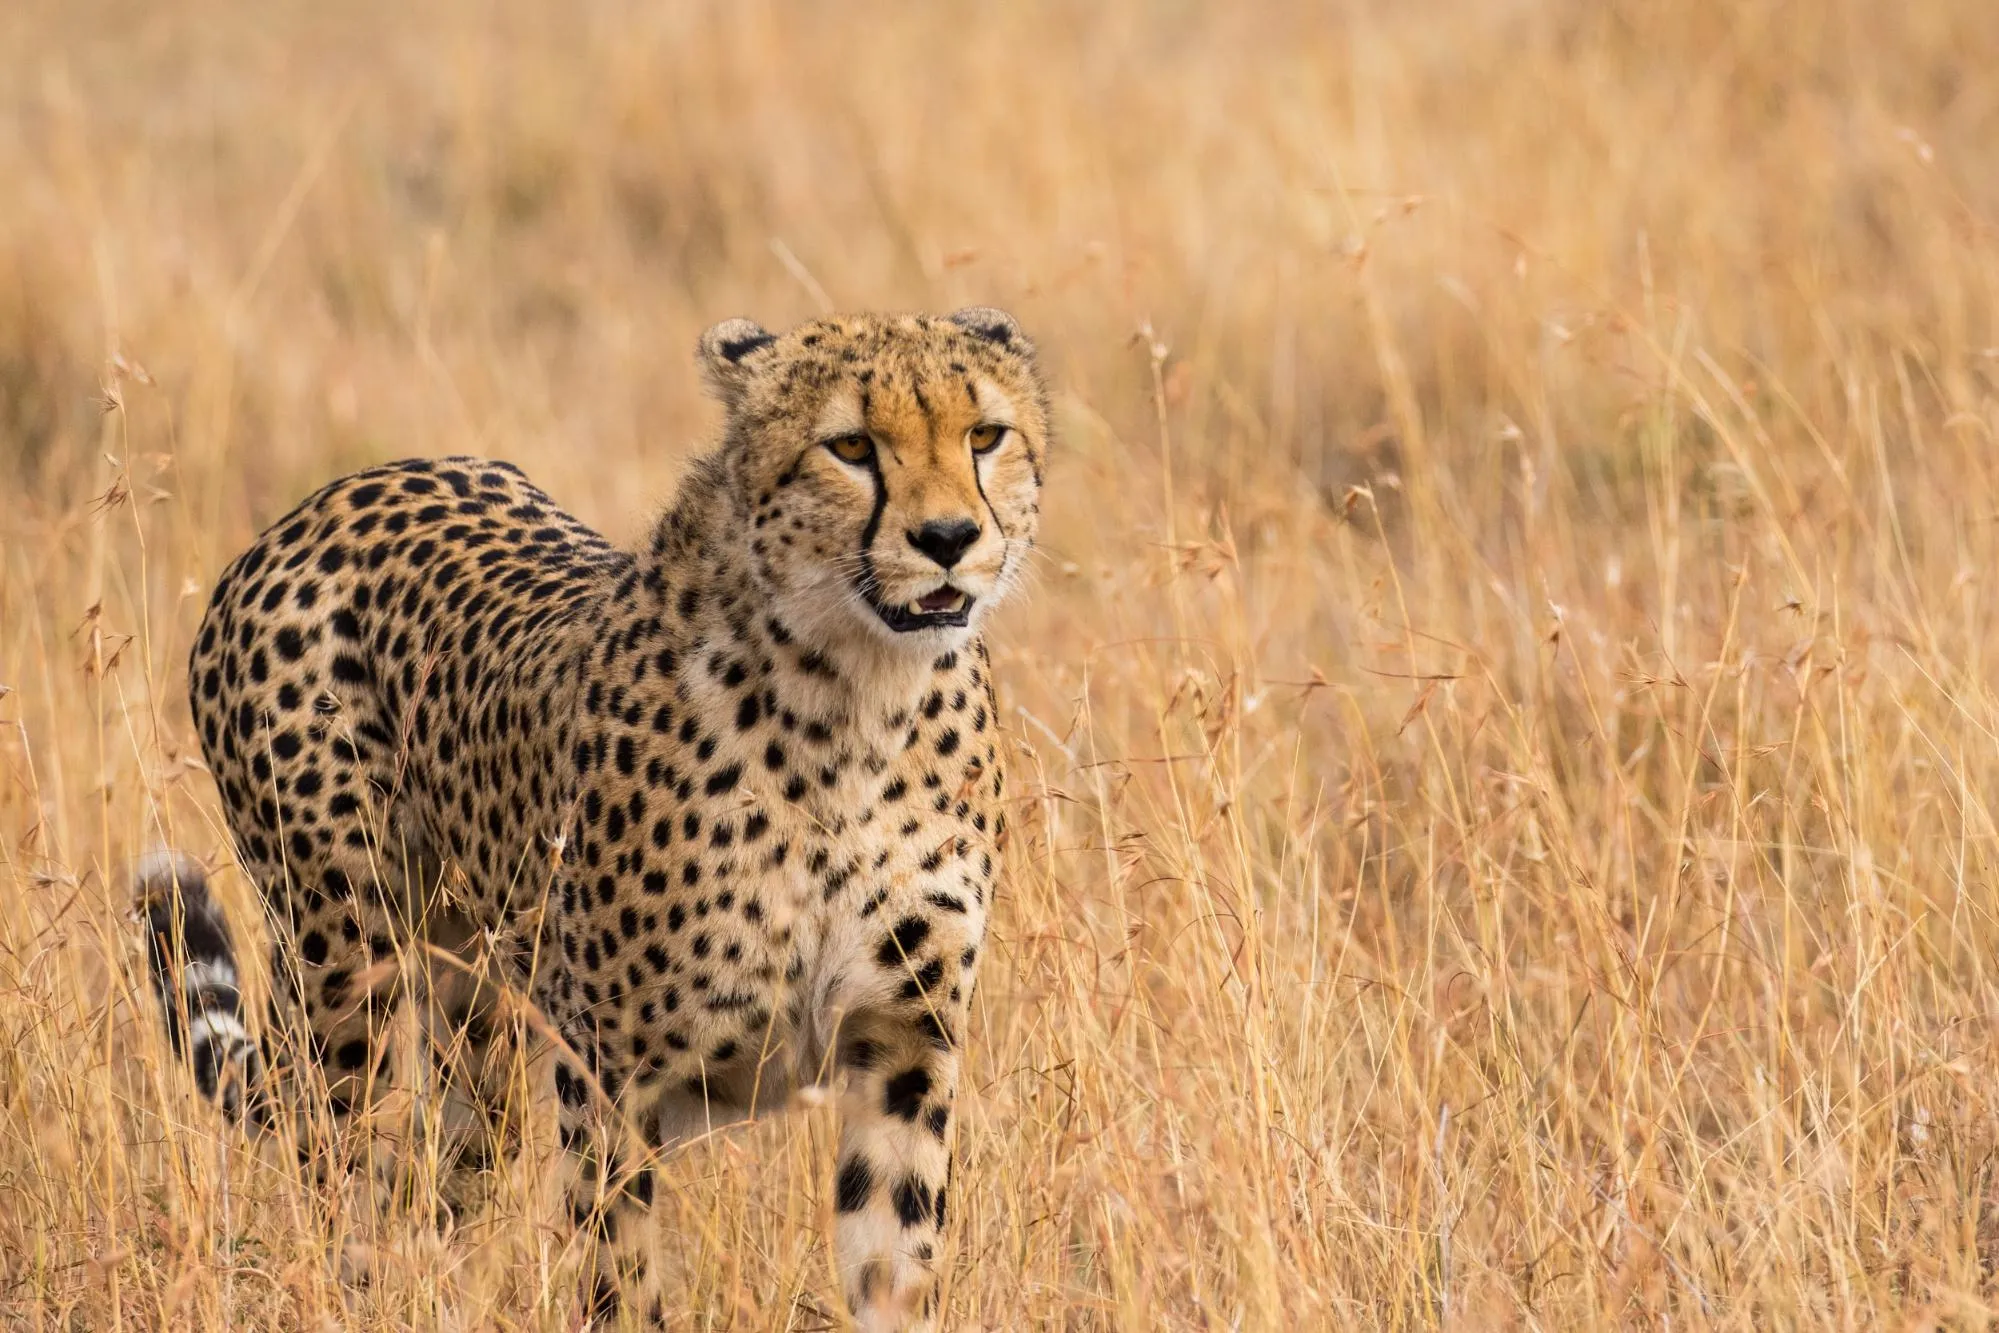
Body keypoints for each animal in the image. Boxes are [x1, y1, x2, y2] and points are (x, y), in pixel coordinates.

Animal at [140, 307, 1047, 1327]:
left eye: (985, 435)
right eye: (849, 446)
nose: (949, 536)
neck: (855, 695)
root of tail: (333, 497)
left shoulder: (902, 1044)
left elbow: (891, 1259)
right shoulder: (609, 1069)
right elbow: (622, 1270)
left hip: (477, 1014)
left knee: (437, 1177)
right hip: (343, 967)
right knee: (342, 1166)